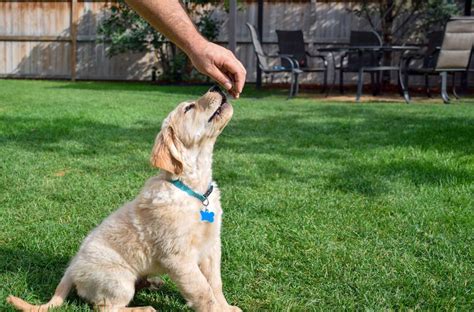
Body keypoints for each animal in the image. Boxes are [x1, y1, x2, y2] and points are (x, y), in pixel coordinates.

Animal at [8, 86, 241, 312]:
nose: (217, 86)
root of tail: (70, 270)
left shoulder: (211, 247)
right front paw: (217, 309)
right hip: (119, 280)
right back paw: (145, 308)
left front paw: (226, 307)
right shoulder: (178, 257)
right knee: (105, 307)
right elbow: (203, 291)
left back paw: (152, 282)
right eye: (189, 108)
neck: (193, 189)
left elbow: (215, 284)